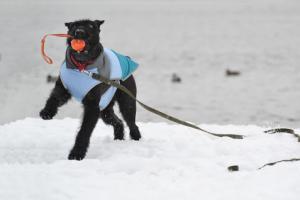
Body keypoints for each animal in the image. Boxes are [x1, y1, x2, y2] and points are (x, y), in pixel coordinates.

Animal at [39, 19, 142, 160]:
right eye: (74, 26)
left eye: (91, 26)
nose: (79, 32)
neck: (82, 67)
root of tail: (126, 59)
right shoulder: (63, 89)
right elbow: (54, 98)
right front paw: (47, 112)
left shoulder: (92, 107)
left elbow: (84, 131)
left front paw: (76, 154)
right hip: (105, 110)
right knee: (118, 122)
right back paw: (118, 138)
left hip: (127, 103)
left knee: (131, 123)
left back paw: (136, 139)